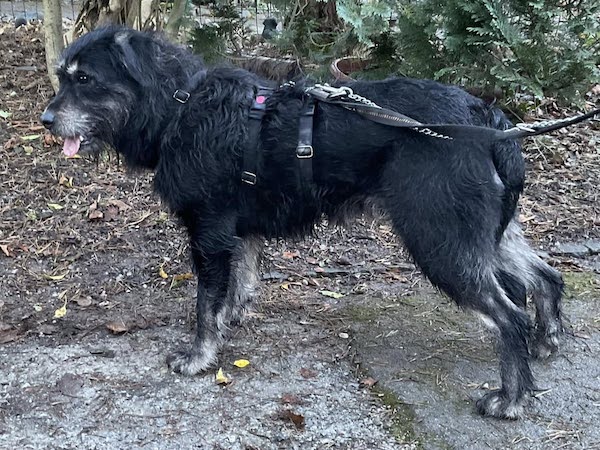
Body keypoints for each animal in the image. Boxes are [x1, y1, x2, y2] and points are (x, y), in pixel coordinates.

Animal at [41, 26, 564, 419]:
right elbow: (237, 285)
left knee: (510, 315)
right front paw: (232, 318)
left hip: (441, 242)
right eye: (63, 76)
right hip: (483, 235)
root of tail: (488, 119)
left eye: (85, 78)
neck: (181, 105)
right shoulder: (239, 233)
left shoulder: (209, 233)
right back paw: (547, 340)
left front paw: (199, 355)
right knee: (546, 275)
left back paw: (512, 398)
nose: (46, 120)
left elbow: (204, 305)